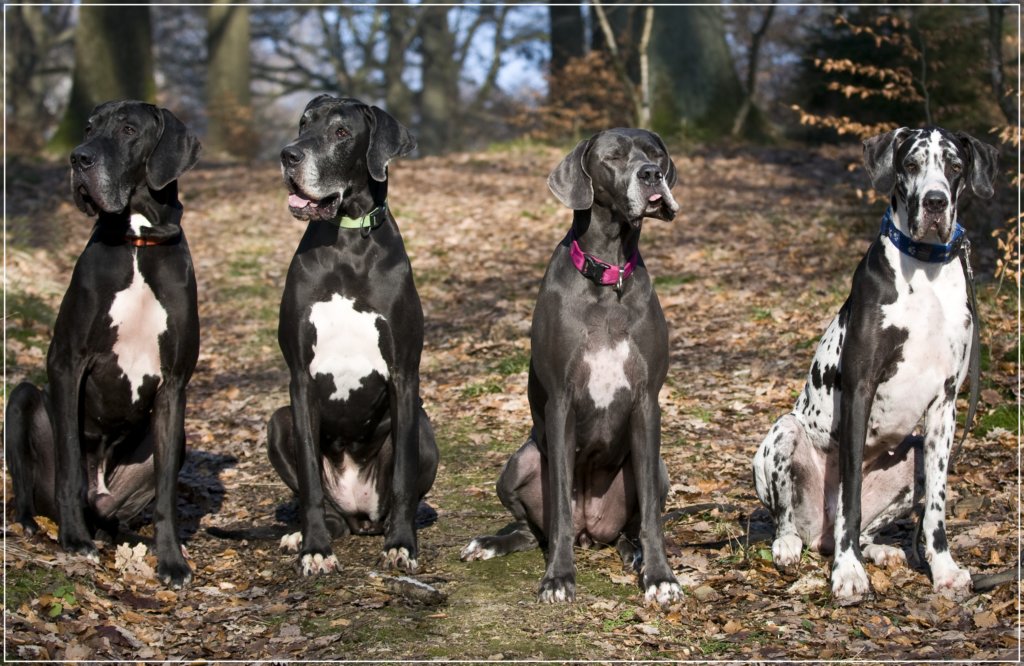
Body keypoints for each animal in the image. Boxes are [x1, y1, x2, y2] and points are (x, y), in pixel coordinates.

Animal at [5, 101, 201, 587]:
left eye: (129, 130)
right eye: (89, 128)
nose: (79, 158)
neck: (137, 242)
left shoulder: (174, 384)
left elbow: (167, 494)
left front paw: (172, 562)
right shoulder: (67, 363)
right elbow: (70, 461)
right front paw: (75, 541)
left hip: (171, 443)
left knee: (117, 514)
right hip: (21, 400)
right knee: (32, 488)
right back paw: (42, 525)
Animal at [267, 95, 438, 576]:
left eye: (341, 133)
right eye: (304, 124)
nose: (288, 155)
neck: (347, 245)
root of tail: (358, 515)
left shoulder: (404, 375)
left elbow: (402, 478)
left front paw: (402, 544)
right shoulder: (300, 380)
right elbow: (309, 475)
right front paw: (314, 549)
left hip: (424, 427)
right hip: (277, 422)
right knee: (323, 504)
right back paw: (305, 534)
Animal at [461, 128, 683, 605]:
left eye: (657, 154)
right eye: (613, 156)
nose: (651, 175)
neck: (608, 275)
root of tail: (589, 532)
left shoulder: (647, 402)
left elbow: (652, 518)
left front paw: (660, 576)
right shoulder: (560, 402)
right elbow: (560, 503)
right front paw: (559, 578)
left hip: (657, 469)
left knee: (630, 527)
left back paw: (634, 553)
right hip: (518, 464)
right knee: (533, 530)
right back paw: (492, 543)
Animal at [753, 127, 998, 603]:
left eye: (955, 166)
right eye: (911, 164)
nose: (936, 202)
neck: (925, 268)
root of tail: (820, 534)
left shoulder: (945, 404)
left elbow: (936, 507)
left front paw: (943, 568)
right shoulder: (859, 391)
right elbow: (850, 495)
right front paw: (848, 572)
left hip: (913, 455)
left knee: (867, 526)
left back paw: (879, 550)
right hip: (783, 435)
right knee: (792, 520)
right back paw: (792, 544)